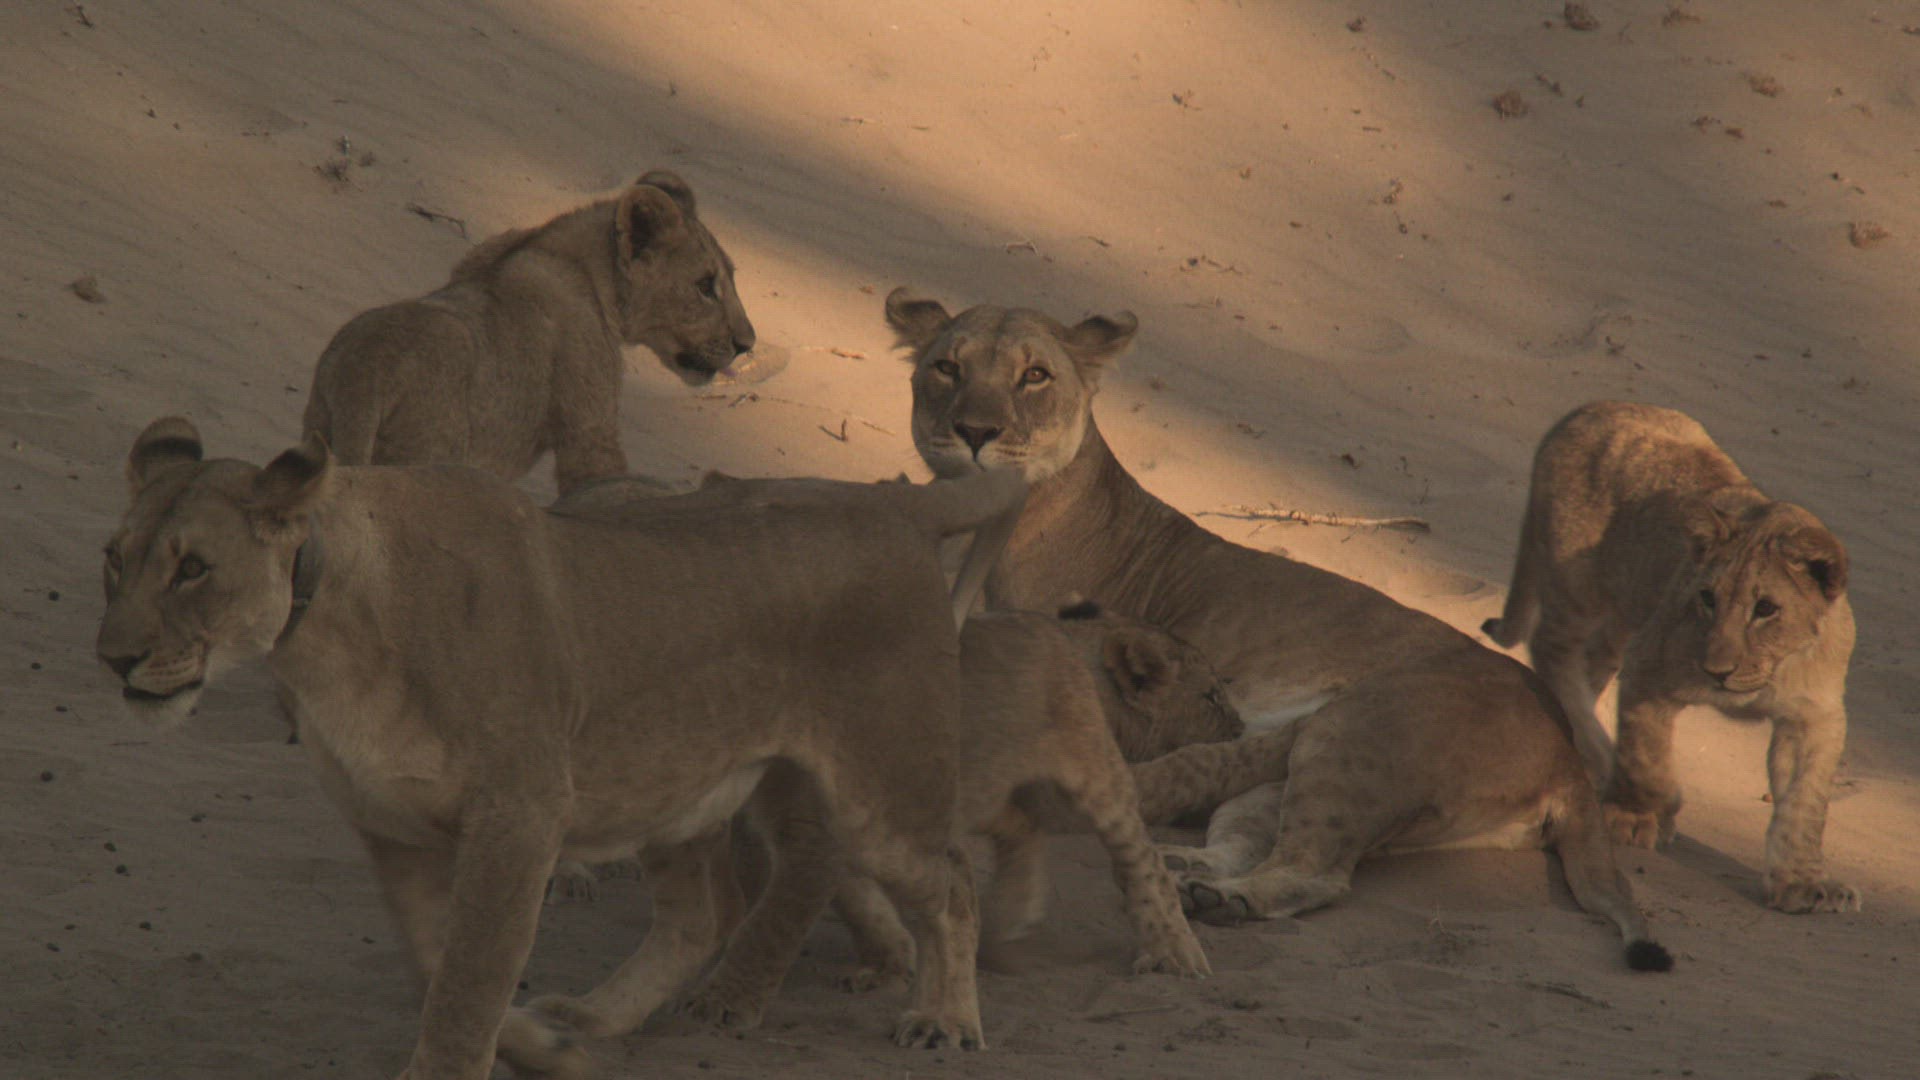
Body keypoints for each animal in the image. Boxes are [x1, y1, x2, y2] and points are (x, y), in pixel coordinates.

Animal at [96, 417, 1027, 1078]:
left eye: (192, 568)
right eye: (115, 559)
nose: (114, 659)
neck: (324, 640)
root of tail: (886, 500)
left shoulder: (520, 814)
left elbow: (468, 978)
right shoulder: (391, 825)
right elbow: (440, 963)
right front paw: (544, 1050)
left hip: (880, 792)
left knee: (948, 879)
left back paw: (944, 1019)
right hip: (670, 779)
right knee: (703, 913)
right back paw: (592, 1018)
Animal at [884, 289, 1673, 971]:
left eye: (1035, 376)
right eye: (947, 367)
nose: (975, 432)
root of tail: (1566, 753)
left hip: (1360, 728)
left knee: (1314, 873)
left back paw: (1217, 900)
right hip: (1297, 767)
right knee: (1248, 838)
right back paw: (1189, 874)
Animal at [1482, 400, 1857, 913]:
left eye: (1766, 609)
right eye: (1707, 598)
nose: (1716, 671)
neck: (1772, 669)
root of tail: (1587, 408)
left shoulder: (1814, 716)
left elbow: (1804, 803)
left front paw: (1800, 883)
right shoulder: (1649, 668)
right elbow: (1648, 760)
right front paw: (1639, 817)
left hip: (1623, 609)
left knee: (1587, 667)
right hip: (1578, 582)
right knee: (1552, 650)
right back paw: (1601, 759)